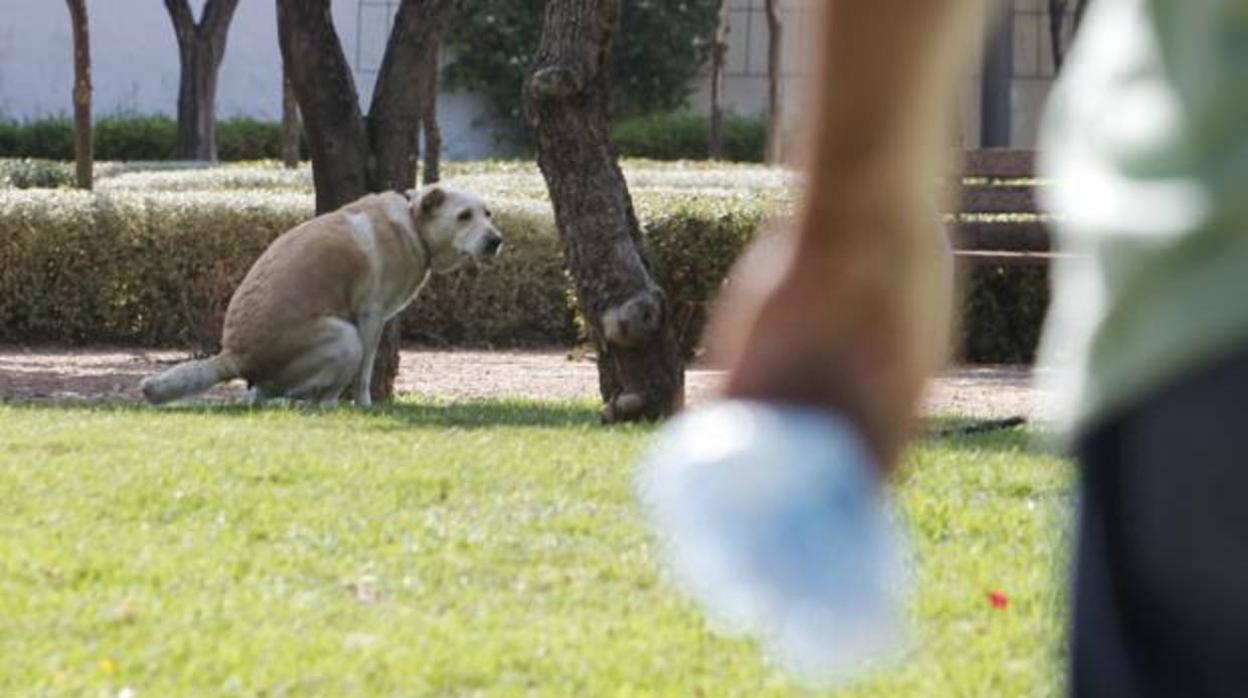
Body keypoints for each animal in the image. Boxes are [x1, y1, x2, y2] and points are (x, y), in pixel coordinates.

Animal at [141, 184, 501, 409]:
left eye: (488, 214)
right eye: (464, 216)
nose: (497, 240)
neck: (413, 224)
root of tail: (233, 355)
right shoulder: (370, 317)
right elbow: (365, 372)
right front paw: (365, 405)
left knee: (260, 396)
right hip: (346, 337)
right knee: (319, 397)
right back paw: (328, 404)